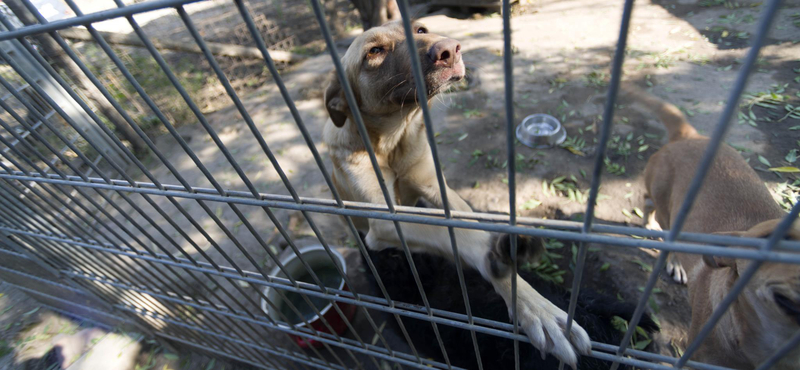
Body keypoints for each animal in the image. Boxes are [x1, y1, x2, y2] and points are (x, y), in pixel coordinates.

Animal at [322, 22, 592, 368]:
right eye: (375, 51)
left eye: (421, 28)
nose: (449, 50)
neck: (391, 141)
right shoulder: (385, 220)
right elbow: (463, 237)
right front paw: (497, 262)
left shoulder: (439, 190)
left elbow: (469, 227)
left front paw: (532, 302)